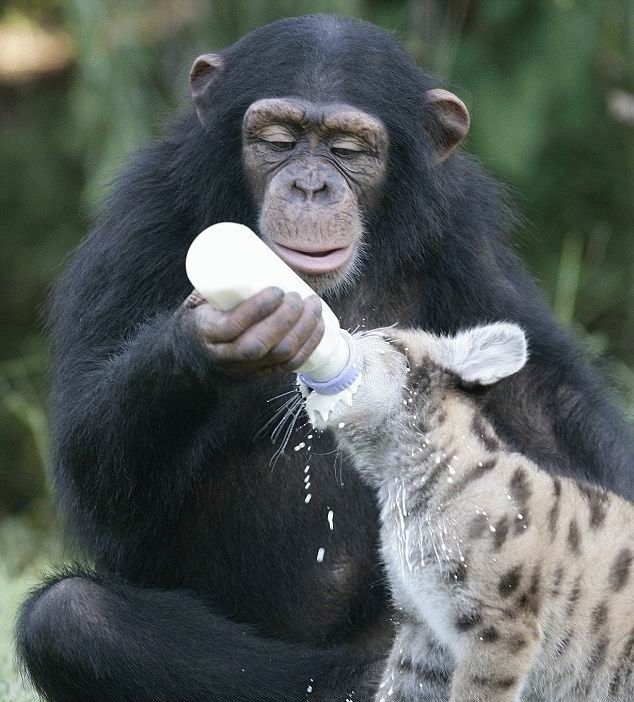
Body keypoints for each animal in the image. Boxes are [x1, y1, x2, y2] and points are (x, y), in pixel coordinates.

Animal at [16, 12, 632, 702]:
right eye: (279, 140)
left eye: (347, 148)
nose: (310, 185)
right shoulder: (137, 223)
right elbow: (97, 479)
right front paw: (206, 334)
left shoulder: (465, 232)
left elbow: (545, 405)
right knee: (71, 617)